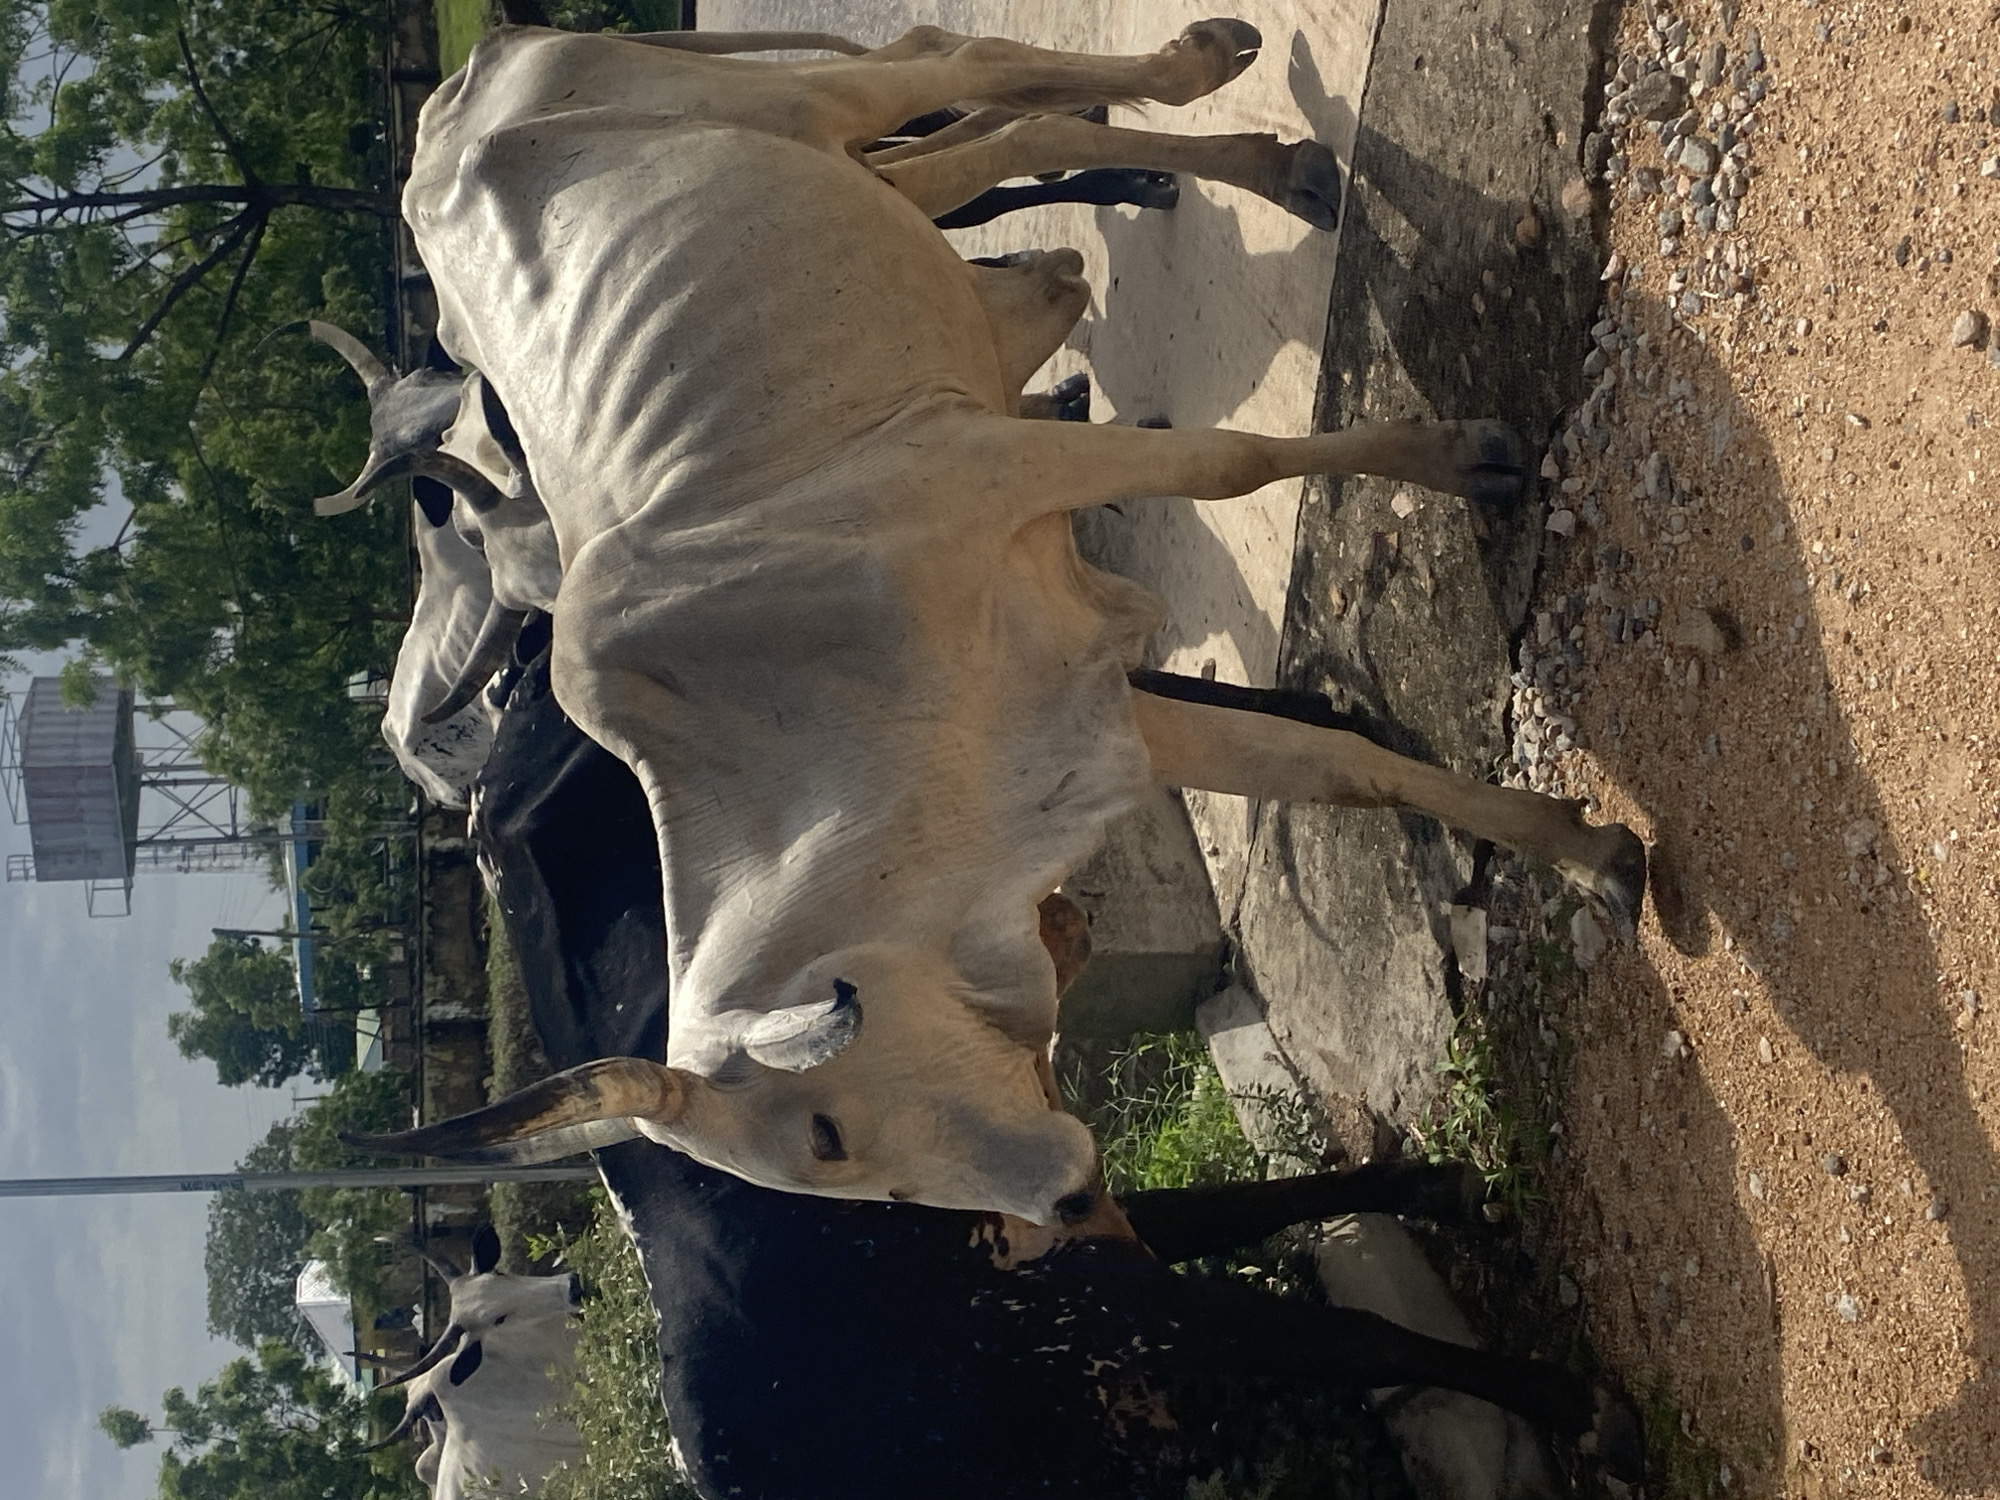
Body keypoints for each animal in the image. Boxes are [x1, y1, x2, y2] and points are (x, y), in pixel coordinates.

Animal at [342, 17, 1646, 1228]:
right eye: (864, 1189)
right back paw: (1267, 166)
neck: (817, 717)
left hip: (810, 106)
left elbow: (1231, 463)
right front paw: (1590, 854)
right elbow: (1338, 769)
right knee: (996, 139)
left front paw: (1462, 457)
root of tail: (459, 98)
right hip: (858, 177)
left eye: (825, 1136)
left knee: (958, 65)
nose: (1066, 1209)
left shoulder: (991, 459)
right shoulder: (1081, 712)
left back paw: (1209, 79)